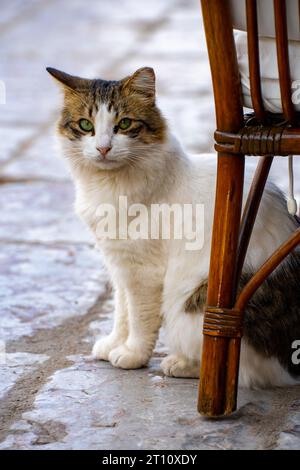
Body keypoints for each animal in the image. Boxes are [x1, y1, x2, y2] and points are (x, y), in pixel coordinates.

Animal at [47, 66, 300, 390]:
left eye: (124, 124)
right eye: (85, 125)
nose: (103, 148)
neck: (109, 186)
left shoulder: (145, 273)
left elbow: (140, 321)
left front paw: (131, 354)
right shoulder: (120, 266)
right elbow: (121, 313)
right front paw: (113, 344)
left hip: (189, 305)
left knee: (243, 371)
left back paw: (180, 364)